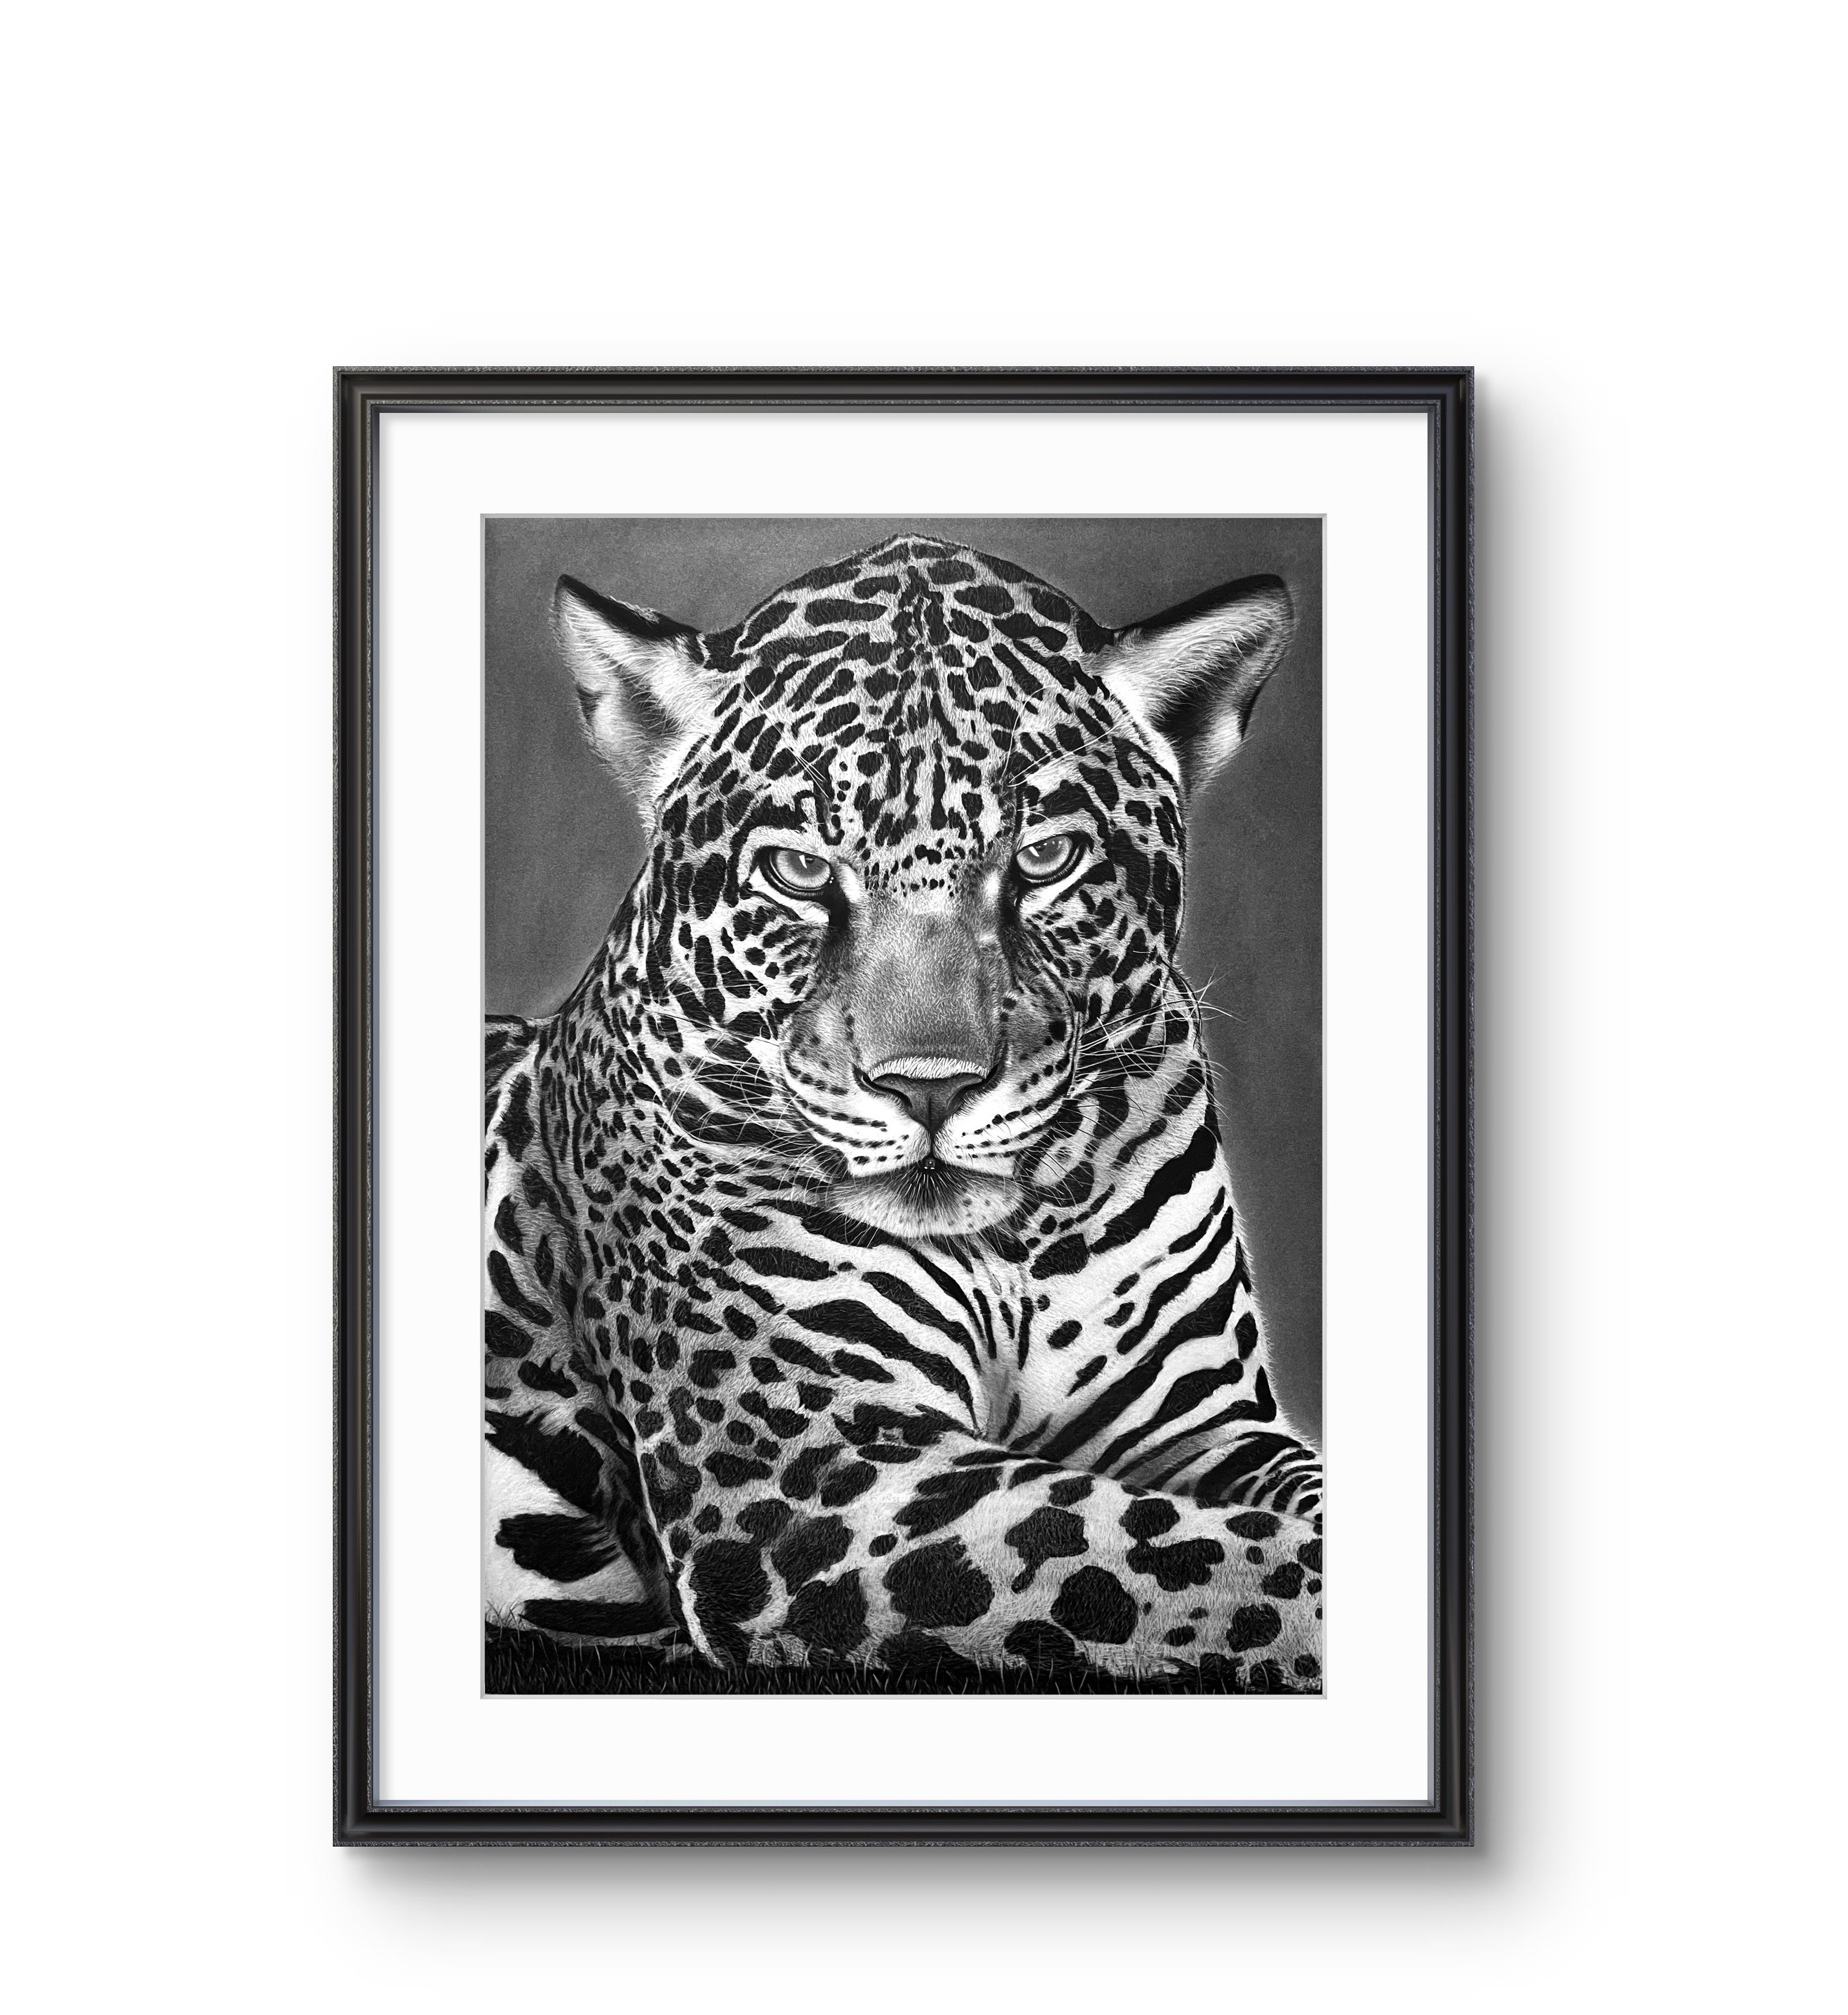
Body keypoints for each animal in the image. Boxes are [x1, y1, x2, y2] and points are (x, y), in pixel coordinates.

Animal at [483, 533, 1323, 1688]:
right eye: (800, 869)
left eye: (1043, 859)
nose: (930, 1084)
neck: (1010, 1249)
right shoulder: (823, 1478)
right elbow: (1208, 1561)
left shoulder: (1205, 1422)